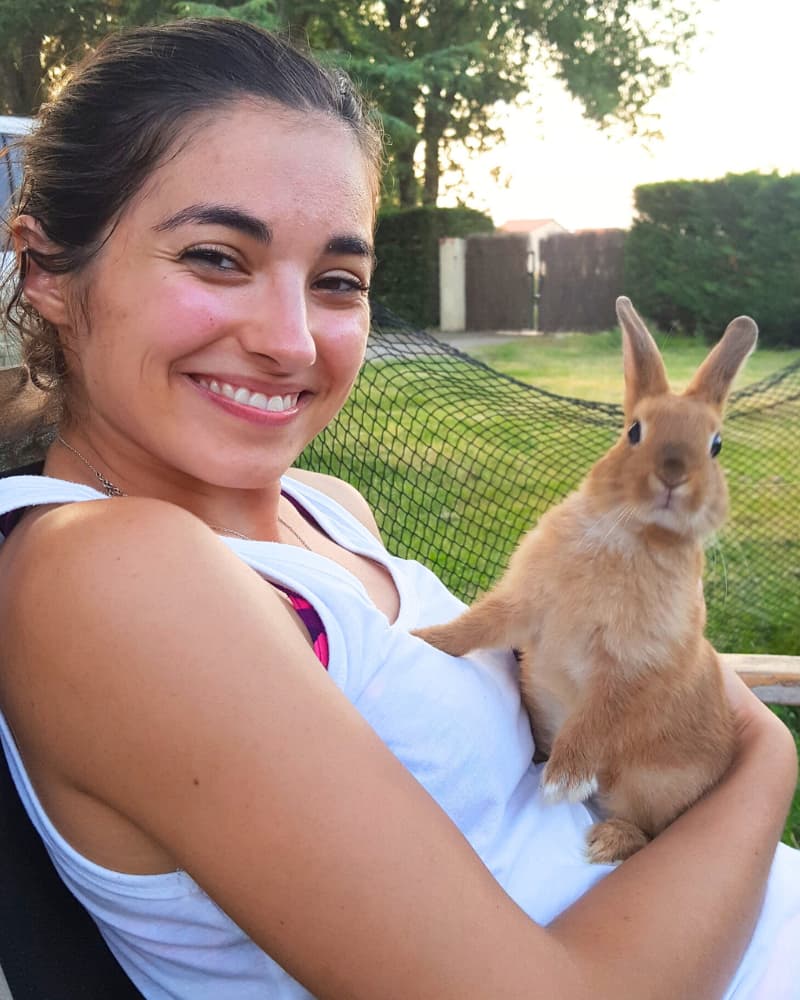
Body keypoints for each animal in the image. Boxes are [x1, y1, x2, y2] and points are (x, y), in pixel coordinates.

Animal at [414, 296, 758, 864]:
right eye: (634, 431)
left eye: (716, 445)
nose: (673, 474)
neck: (633, 535)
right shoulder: (524, 606)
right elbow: (476, 626)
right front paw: (423, 639)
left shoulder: (629, 668)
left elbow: (596, 720)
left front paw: (561, 782)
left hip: (653, 789)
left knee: (649, 831)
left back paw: (606, 839)